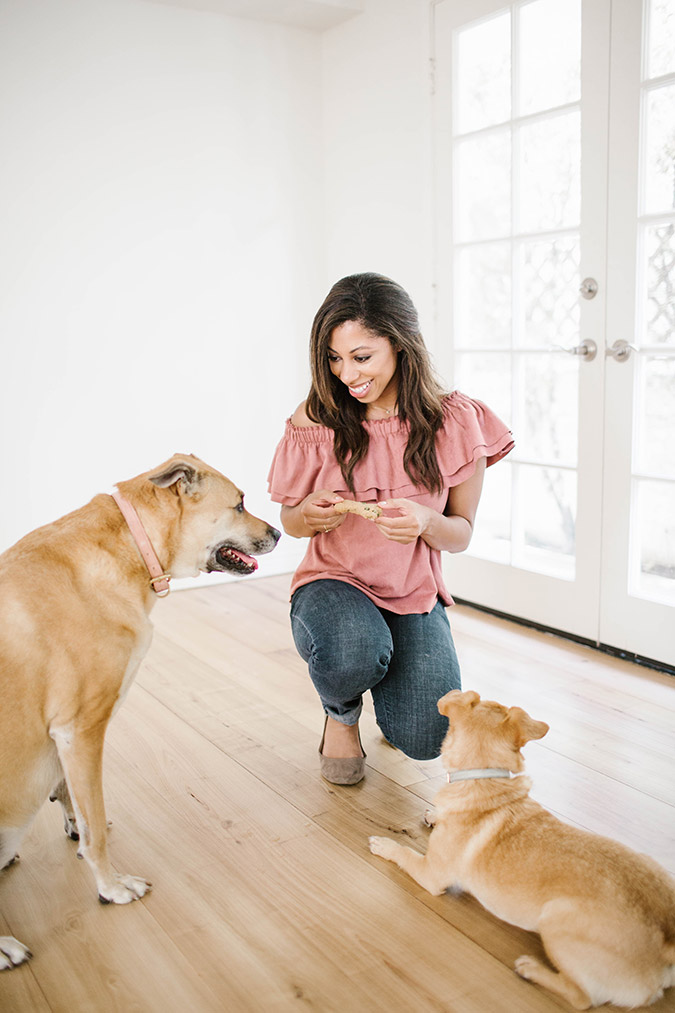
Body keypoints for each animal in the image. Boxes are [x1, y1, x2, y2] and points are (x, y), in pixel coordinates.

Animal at [0, 455, 277, 968]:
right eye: (240, 503)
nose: (280, 533)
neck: (131, 544)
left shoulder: (64, 742)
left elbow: (73, 798)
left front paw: (74, 823)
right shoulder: (82, 730)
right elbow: (96, 831)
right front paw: (111, 887)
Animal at [368, 684, 672, 1008]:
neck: (483, 778)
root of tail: (667, 943)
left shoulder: (431, 874)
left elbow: (404, 852)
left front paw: (383, 843)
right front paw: (434, 814)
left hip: (554, 920)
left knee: (581, 997)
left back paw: (531, 969)